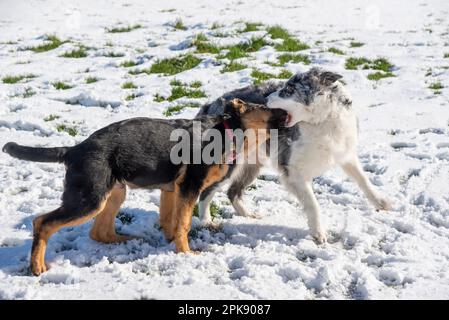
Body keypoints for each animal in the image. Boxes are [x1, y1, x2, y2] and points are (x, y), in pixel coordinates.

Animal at [1, 99, 286, 276]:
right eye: (265, 107)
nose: (286, 112)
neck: (227, 130)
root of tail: (74, 150)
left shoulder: (171, 190)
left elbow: (171, 222)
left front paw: (171, 245)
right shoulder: (189, 188)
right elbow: (183, 224)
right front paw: (186, 253)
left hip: (113, 193)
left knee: (99, 231)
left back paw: (126, 239)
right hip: (90, 198)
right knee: (42, 222)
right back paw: (37, 267)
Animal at [195, 67, 388, 242]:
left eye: (288, 89)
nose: (265, 100)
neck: (322, 122)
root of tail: (209, 106)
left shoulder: (345, 154)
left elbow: (363, 179)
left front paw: (381, 202)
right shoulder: (293, 171)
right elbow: (313, 204)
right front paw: (318, 233)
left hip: (251, 165)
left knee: (233, 192)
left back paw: (248, 215)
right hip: (229, 165)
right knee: (206, 191)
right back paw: (206, 222)